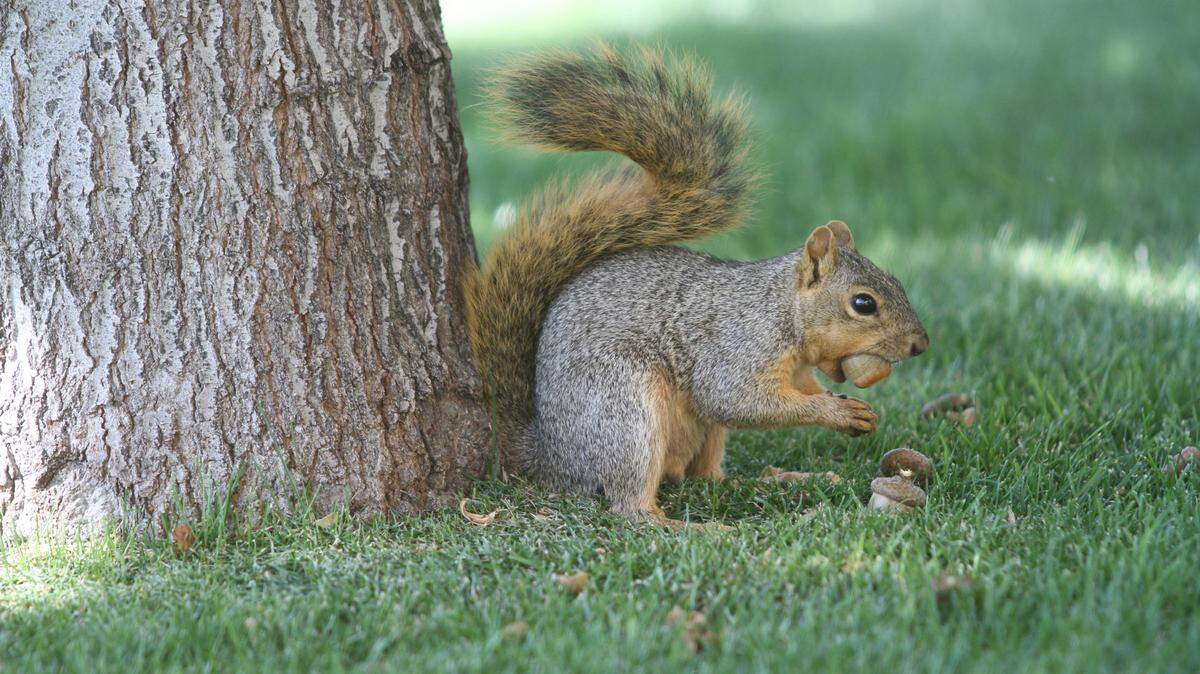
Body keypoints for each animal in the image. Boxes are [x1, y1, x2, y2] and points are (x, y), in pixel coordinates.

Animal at [464, 45, 929, 526]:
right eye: (863, 303)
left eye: (896, 281)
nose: (920, 344)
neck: (780, 312)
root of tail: (550, 458)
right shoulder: (735, 348)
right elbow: (737, 399)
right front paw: (834, 411)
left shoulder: (796, 371)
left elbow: (801, 391)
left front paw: (857, 412)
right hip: (622, 410)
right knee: (631, 507)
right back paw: (692, 528)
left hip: (701, 434)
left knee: (705, 478)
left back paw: (776, 480)